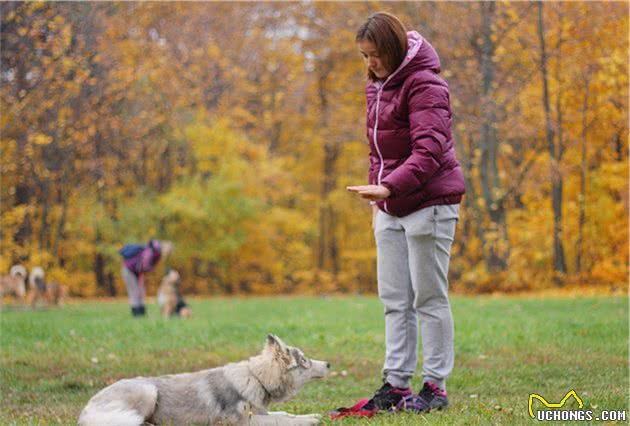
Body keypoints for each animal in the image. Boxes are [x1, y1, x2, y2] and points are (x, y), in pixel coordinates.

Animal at [79, 334, 330, 424]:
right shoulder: (242, 422)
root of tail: (86, 409)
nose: (329, 364)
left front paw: (313, 415)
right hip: (148, 391)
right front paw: (311, 421)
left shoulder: (260, 413)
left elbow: (286, 414)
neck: (256, 378)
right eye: (305, 360)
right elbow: (283, 420)